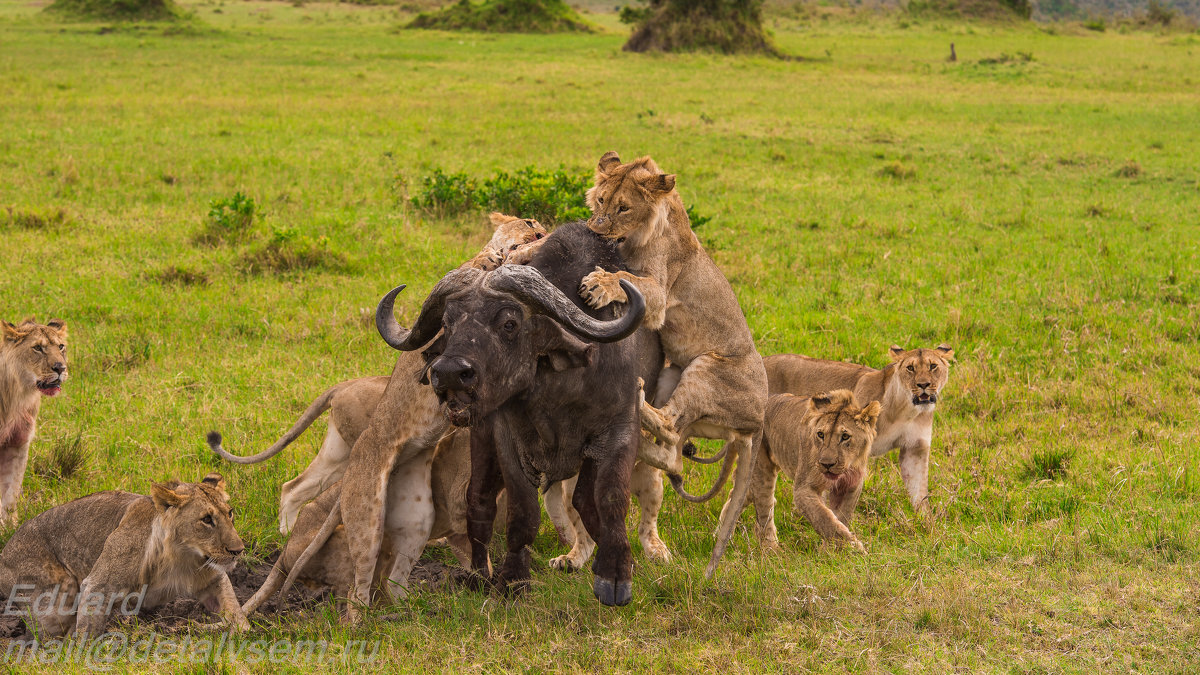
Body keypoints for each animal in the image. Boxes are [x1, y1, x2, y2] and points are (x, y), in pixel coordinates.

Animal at [0, 317, 68, 523]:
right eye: (37, 348)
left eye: (61, 346)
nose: (60, 368)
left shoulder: (18, 443)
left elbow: (10, 493)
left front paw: (10, 526)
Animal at [0, 470, 248, 634]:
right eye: (206, 519)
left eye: (230, 513)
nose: (238, 550)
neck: (182, 557)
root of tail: (4, 552)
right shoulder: (98, 584)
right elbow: (87, 632)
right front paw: (81, 658)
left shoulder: (212, 576)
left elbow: (238, 618)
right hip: (56, 597)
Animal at [372, 222, 657, 605]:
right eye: (447, 322)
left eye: (509, 323)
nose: (449, 373)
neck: (557, 395)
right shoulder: (508, 440)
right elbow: (522, 512)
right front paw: (512, 579)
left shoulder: (621, 429)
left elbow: (611, 499)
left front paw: (615, 575)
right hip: (480, 438)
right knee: (478, 502)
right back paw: (478, 574)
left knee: (584, 499)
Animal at [578, 151, 768, 571]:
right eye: (601, 200)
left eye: (624, 208)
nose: (596, 231)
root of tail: (759, 420)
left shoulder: (659, 291)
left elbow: (626, 277)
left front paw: (600, 283)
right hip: (673, 376)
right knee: (671, 440)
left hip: (705, 367)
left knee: (667, 435)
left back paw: (632, 399)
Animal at [768, 341, 955, 509]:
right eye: (910, 368)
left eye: (933, 366)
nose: (923, 385)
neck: (905, 411)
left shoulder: (915, 449)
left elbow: (920, 493)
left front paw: (925, 521)